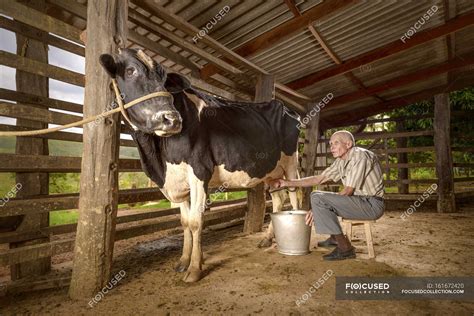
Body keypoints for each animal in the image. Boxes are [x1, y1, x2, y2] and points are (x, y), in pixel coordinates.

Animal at [99, 50, 300, 284]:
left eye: (164, 79)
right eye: (130, 71)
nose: (171, 119)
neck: (158, 161)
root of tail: (286, 108)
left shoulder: (199, 171)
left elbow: (196, 221)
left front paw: (195, 268)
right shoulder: (178, 181)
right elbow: (185, 222)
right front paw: (183, 261)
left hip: (291, 164)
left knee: (294, 196)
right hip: (269, 171)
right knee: (279, 199)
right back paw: (267, 239)